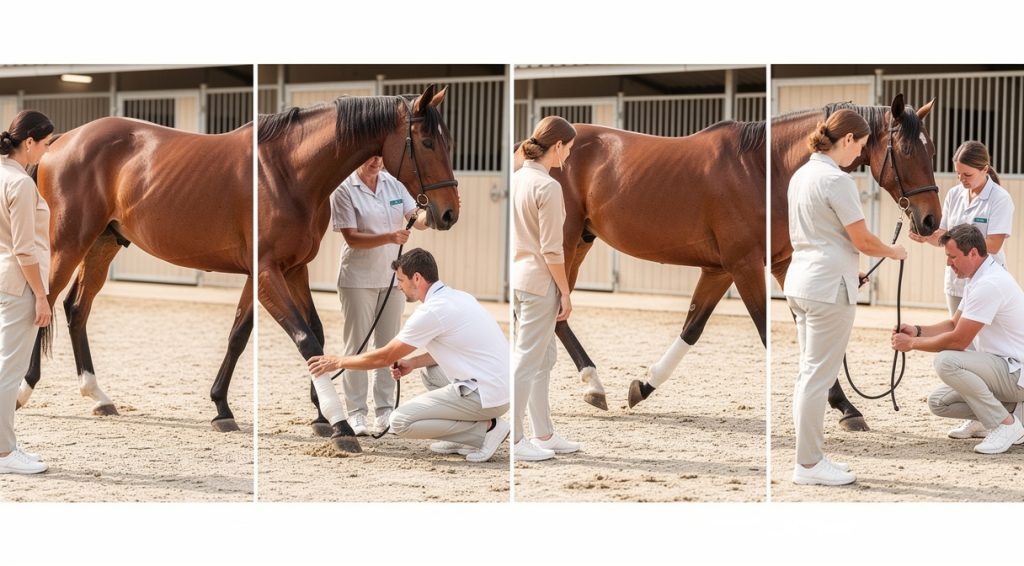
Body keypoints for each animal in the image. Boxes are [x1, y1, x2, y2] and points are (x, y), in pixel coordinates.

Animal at [17, 117, 254, 433]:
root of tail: (63, 139)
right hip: (68, 244)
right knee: (45, 301)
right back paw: (23, 390)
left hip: (102, 243)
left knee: (76, 307)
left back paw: (98, 395)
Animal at [256, 85, 460, 453]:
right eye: (427, 142)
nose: (450, 212)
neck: (281, 173)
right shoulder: (265, 270)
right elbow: (304, 337)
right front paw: (340, 426)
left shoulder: (290, 267)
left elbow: (311, 333)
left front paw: (323, 416)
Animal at [517, 119, 767, 411]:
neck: (753, 167)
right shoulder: (745, 264)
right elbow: (763, 329)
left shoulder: (722, 269)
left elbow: (692, 327)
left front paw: (644, 386)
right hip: (562, 246)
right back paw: (590, 385)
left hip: (579, 244)